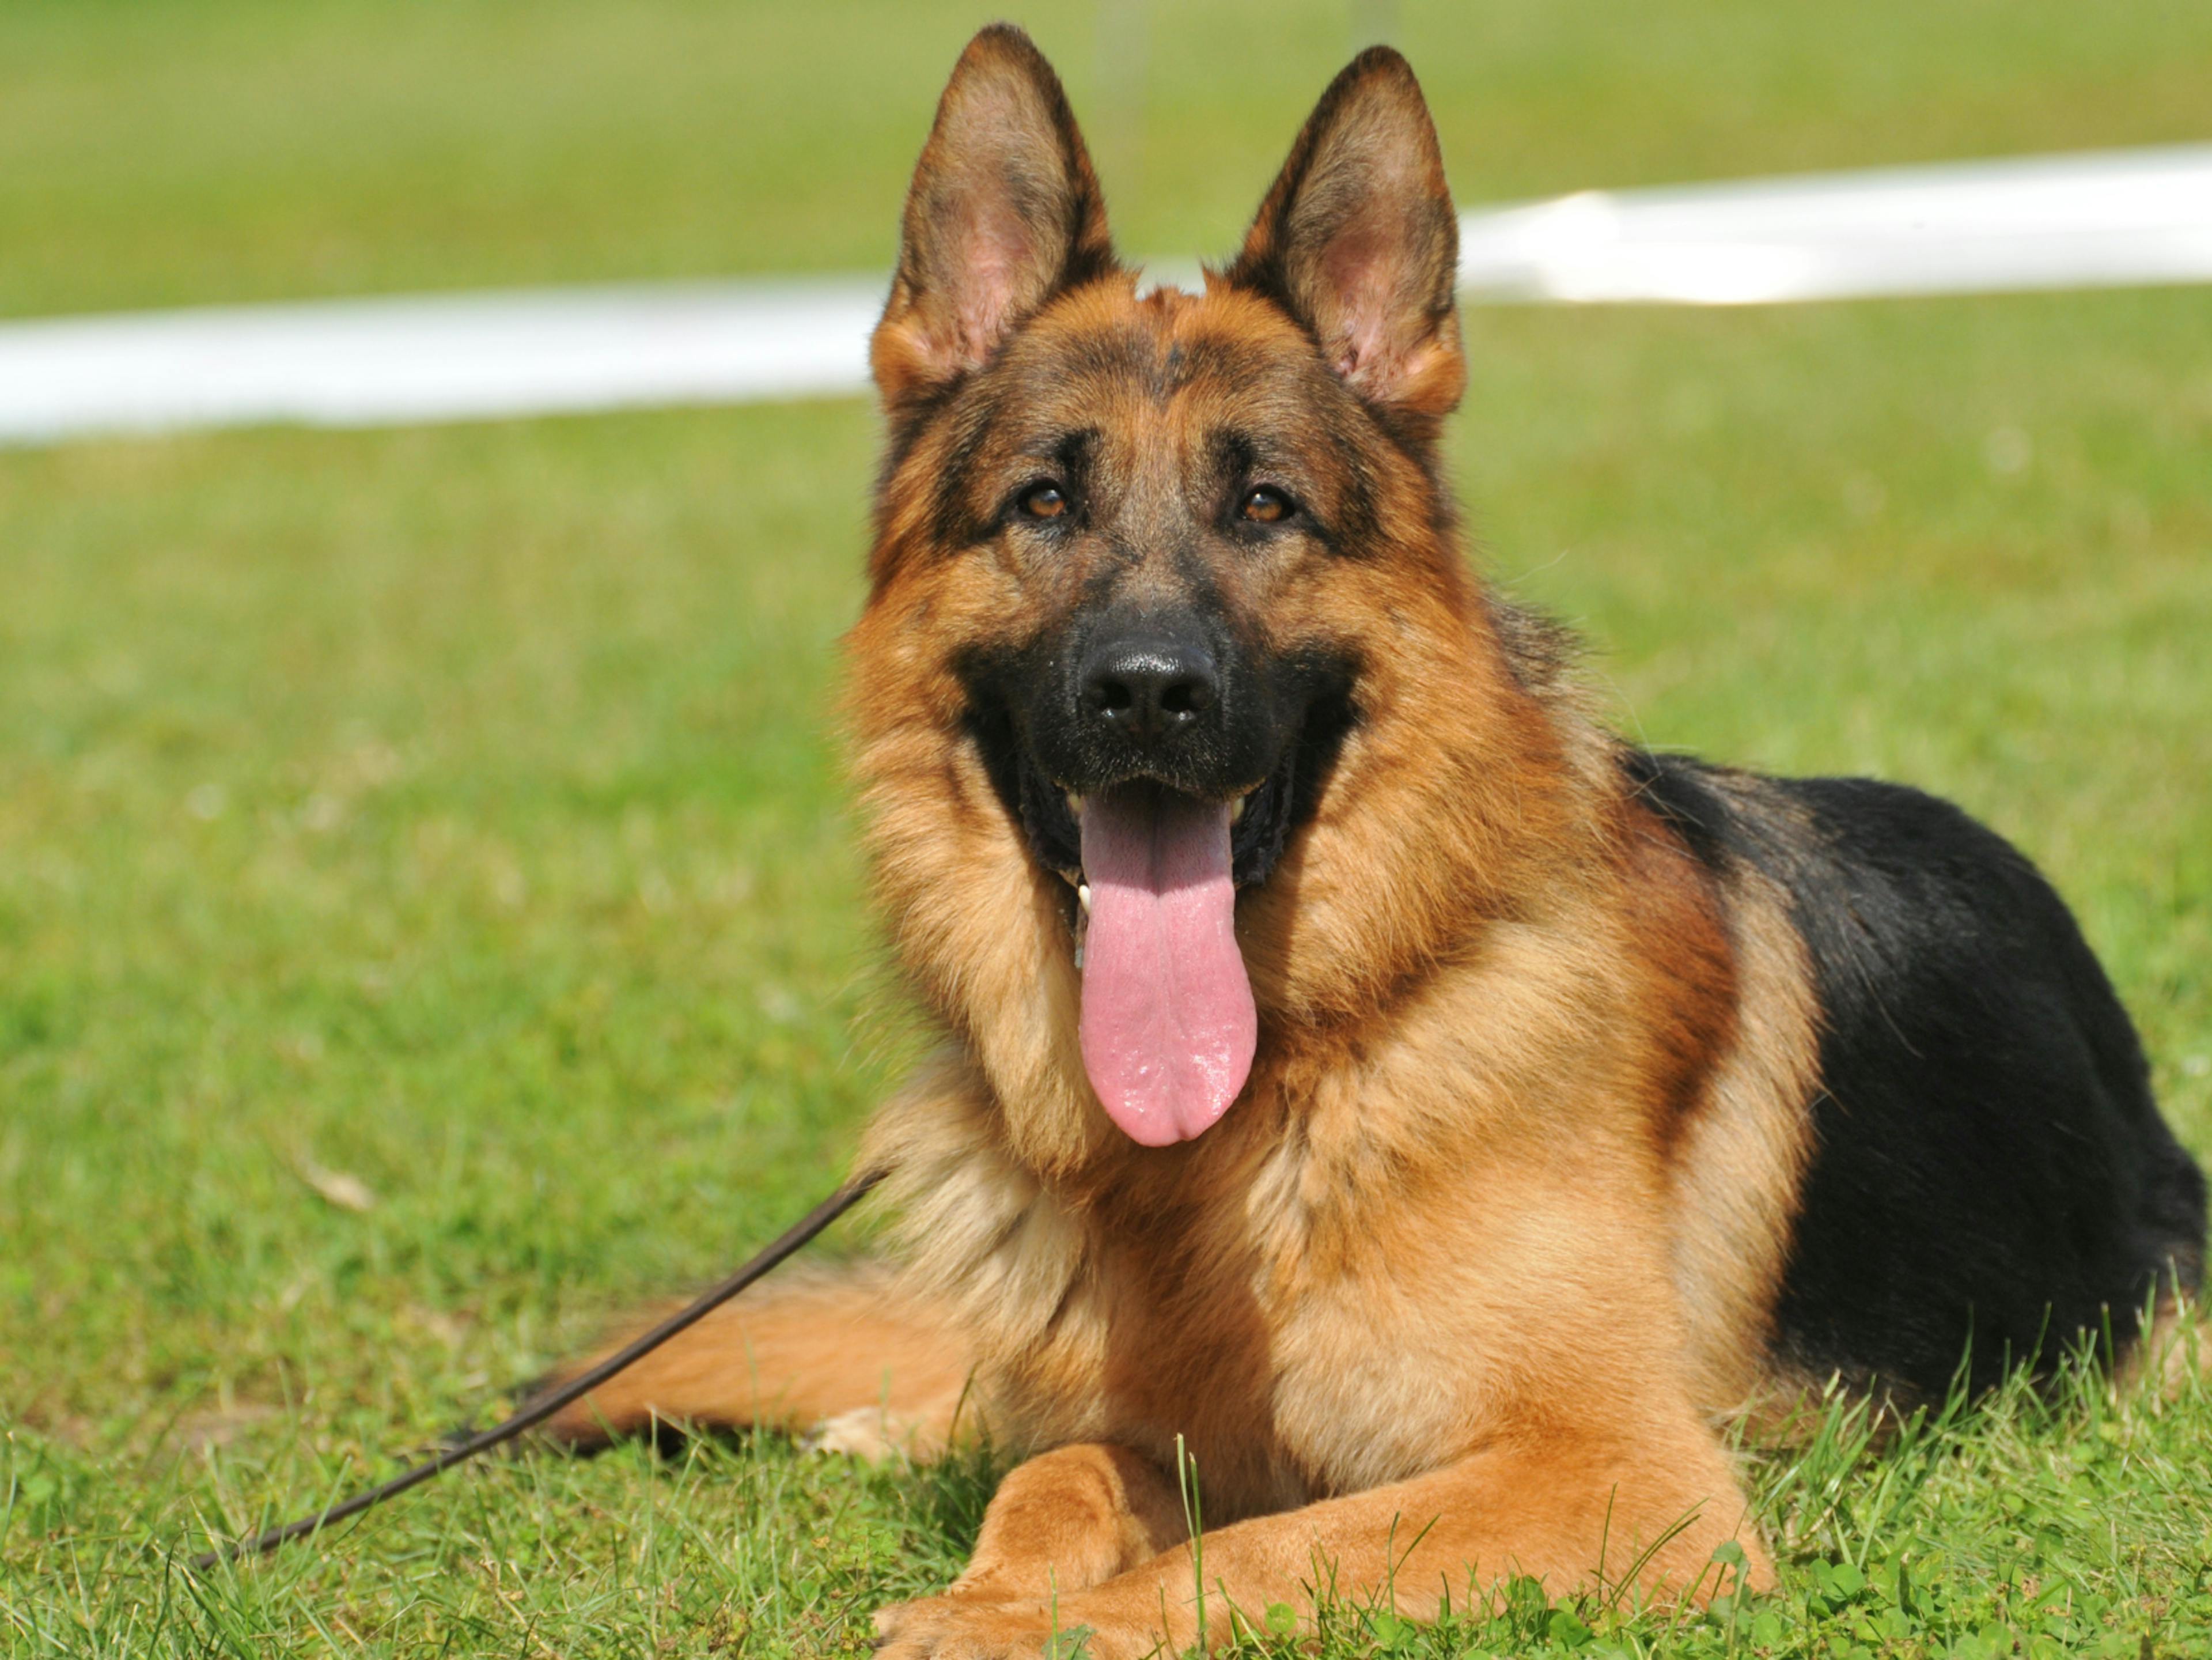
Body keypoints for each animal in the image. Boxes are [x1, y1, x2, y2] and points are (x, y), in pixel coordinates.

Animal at [544, 22, 2203, 1655]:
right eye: (1044, 501)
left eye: (1268, 505)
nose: (1147, 692)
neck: (1287, 1080)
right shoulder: (1159, 1432)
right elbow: (1058, 1474)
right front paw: (988, 1581)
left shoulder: (1622, 1477)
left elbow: (1252, 1554)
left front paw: (1004, 1627)